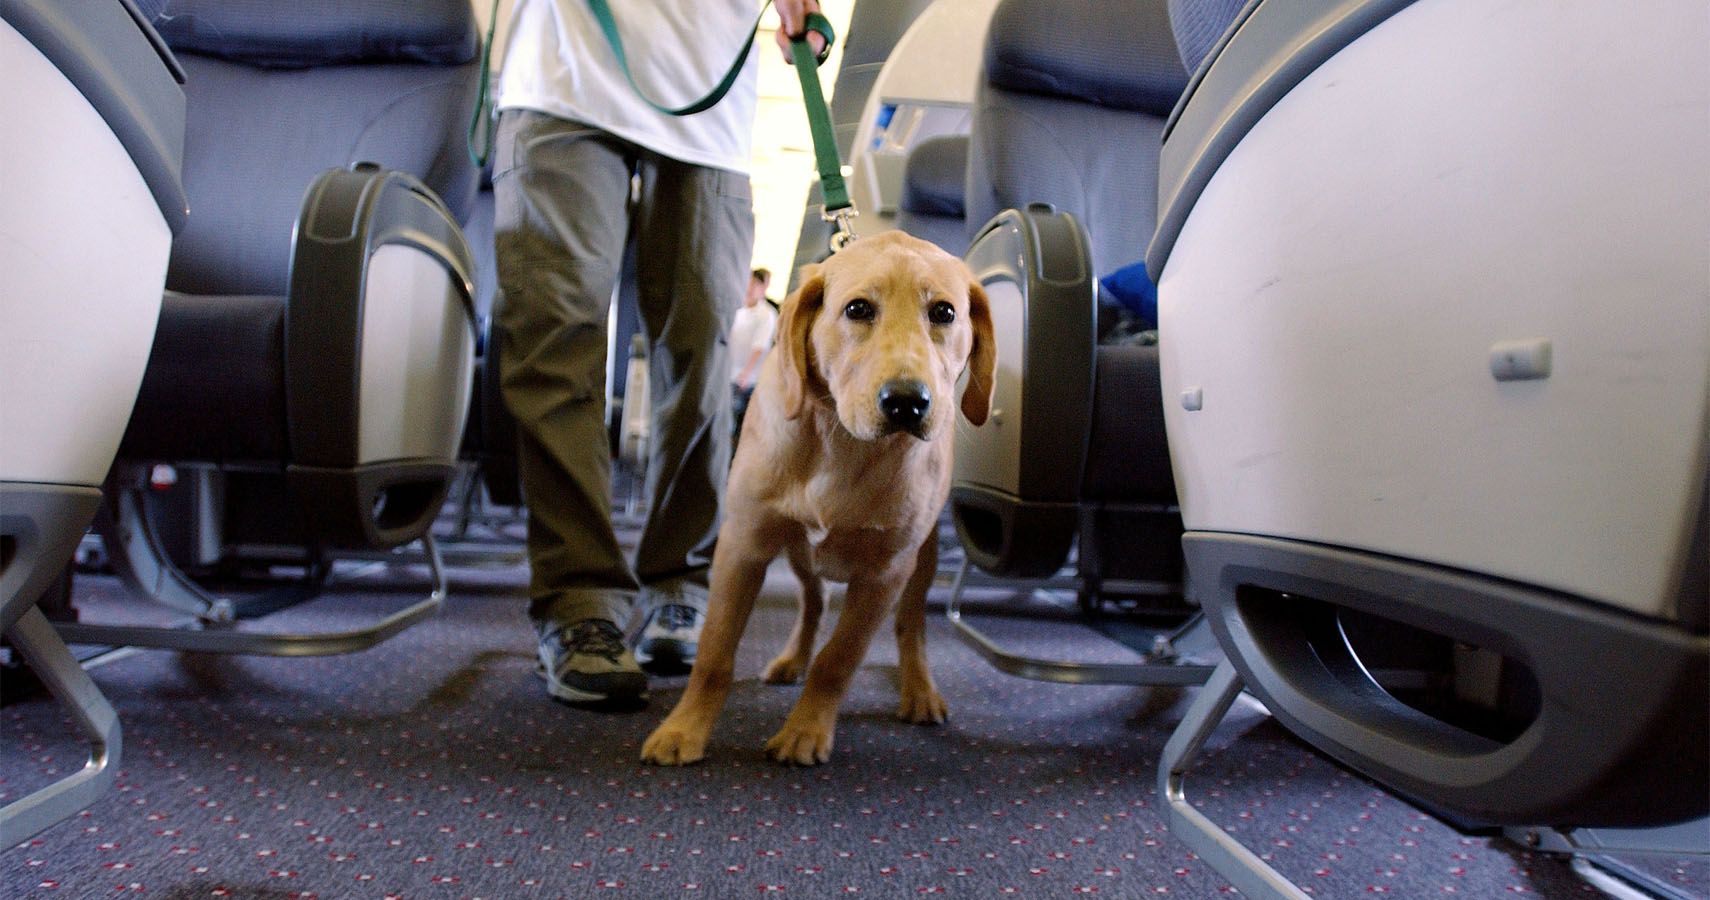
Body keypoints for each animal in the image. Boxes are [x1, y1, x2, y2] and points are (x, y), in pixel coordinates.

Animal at [642, 230, 998, 769]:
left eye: (944, 312)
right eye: (857, 308)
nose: (907, 403)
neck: (841, 444)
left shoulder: (885, 573)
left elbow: (838, 659)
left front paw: (805, 730)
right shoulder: (742, 546)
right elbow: (715, 652)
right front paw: (684, 729)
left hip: (923, 559)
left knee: (911, 626)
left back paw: (919, 689)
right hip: (799, 554)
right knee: (814, 602)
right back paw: (793, 658)